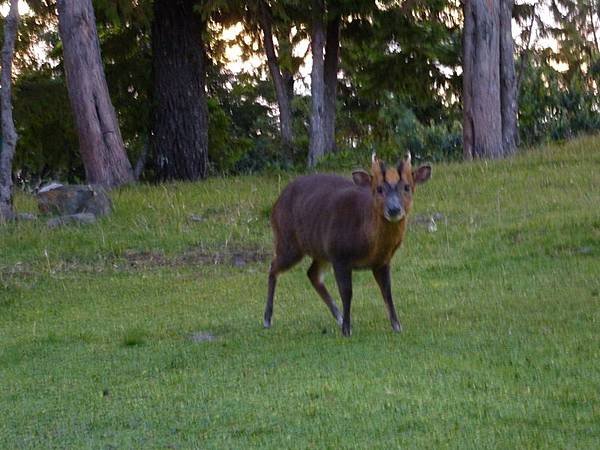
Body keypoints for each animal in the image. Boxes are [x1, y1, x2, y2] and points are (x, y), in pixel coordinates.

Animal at [264, 153, 432, 336]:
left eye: (407, 187)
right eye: (379, 189)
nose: (394, 209)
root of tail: (276, 203)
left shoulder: (382, 261)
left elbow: (387, 292)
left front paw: (397, 326)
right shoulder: (339, 255)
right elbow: (347, 292)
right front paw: (347, 330)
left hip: (320, 251)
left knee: (311, 273)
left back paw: (338, 316)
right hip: (288, 241)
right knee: (273, 267)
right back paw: (267, 319)